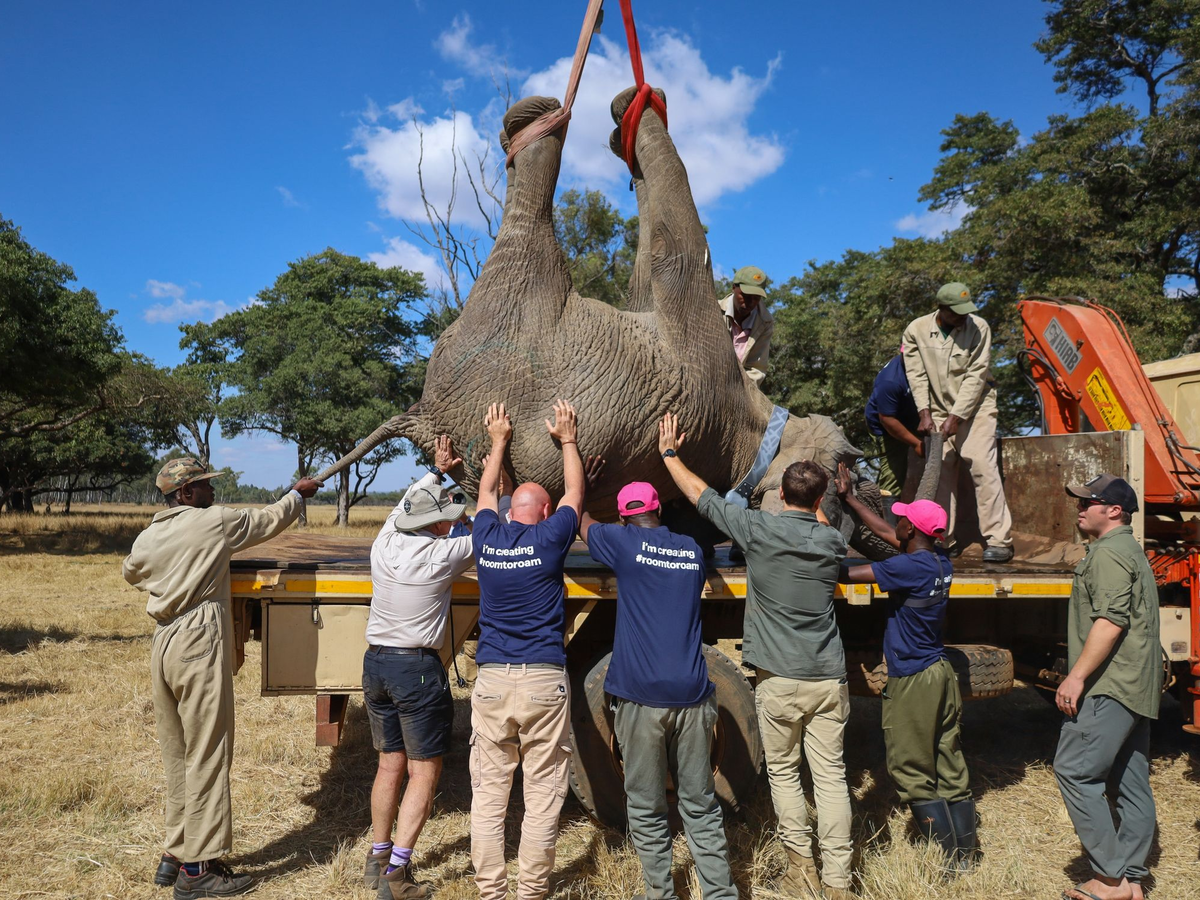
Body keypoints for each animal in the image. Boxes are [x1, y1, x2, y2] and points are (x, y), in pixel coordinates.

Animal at [318, 86, 890, 556]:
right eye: (849, 471)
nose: (869, 493)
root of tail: (423, 411)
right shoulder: (704, 351)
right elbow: (671, 254)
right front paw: (631, 115)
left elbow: (666, 253)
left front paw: (625, 120)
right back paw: (541, 118)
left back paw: (531, 122)